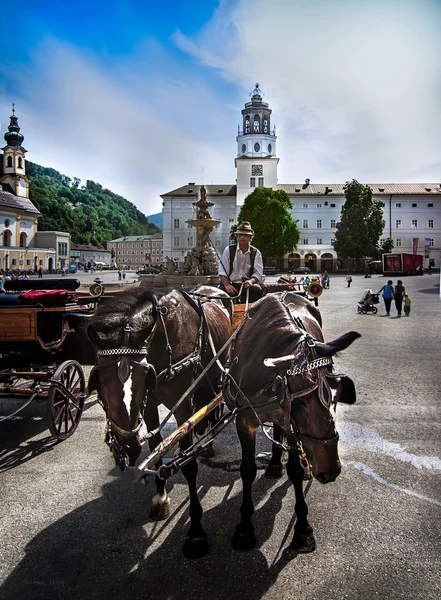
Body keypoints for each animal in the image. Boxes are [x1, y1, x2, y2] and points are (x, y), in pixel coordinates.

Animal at [85, 284, 230, 556]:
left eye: (144, 376)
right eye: (98, 381)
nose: (126, 447)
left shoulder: (183, 406)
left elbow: (187, 463)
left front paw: (196, 531)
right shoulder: (150, 404)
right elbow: (156, 448)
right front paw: (160, 498)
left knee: (215, 402)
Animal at [223, 292, 360, 552]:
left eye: (337, 395)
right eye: (302, 402)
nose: (331, 471)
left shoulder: (292, 425)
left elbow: (295, 471)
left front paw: (303, 529)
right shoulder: (244, 420)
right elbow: (247, 469)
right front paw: (244, 527)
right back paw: (275, 464)